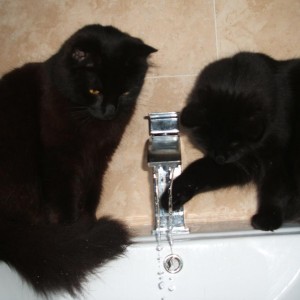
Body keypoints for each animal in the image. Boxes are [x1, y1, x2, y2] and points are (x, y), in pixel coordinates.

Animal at [0, 24, 156, 296]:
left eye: (126, 92)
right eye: (95, 90)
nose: (110, 111)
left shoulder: (98, 161)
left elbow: (91, 194)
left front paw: (87, 226)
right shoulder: (61, 160)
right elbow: (66, 200)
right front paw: (76, 234)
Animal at [162, 52, 300, 232]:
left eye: (235, 143)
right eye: (207, 141)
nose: (220, 158)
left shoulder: (276, 158)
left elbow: (275, 188)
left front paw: (268, 219)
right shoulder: (240, 163)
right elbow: (198, 170)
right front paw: (172, 195)